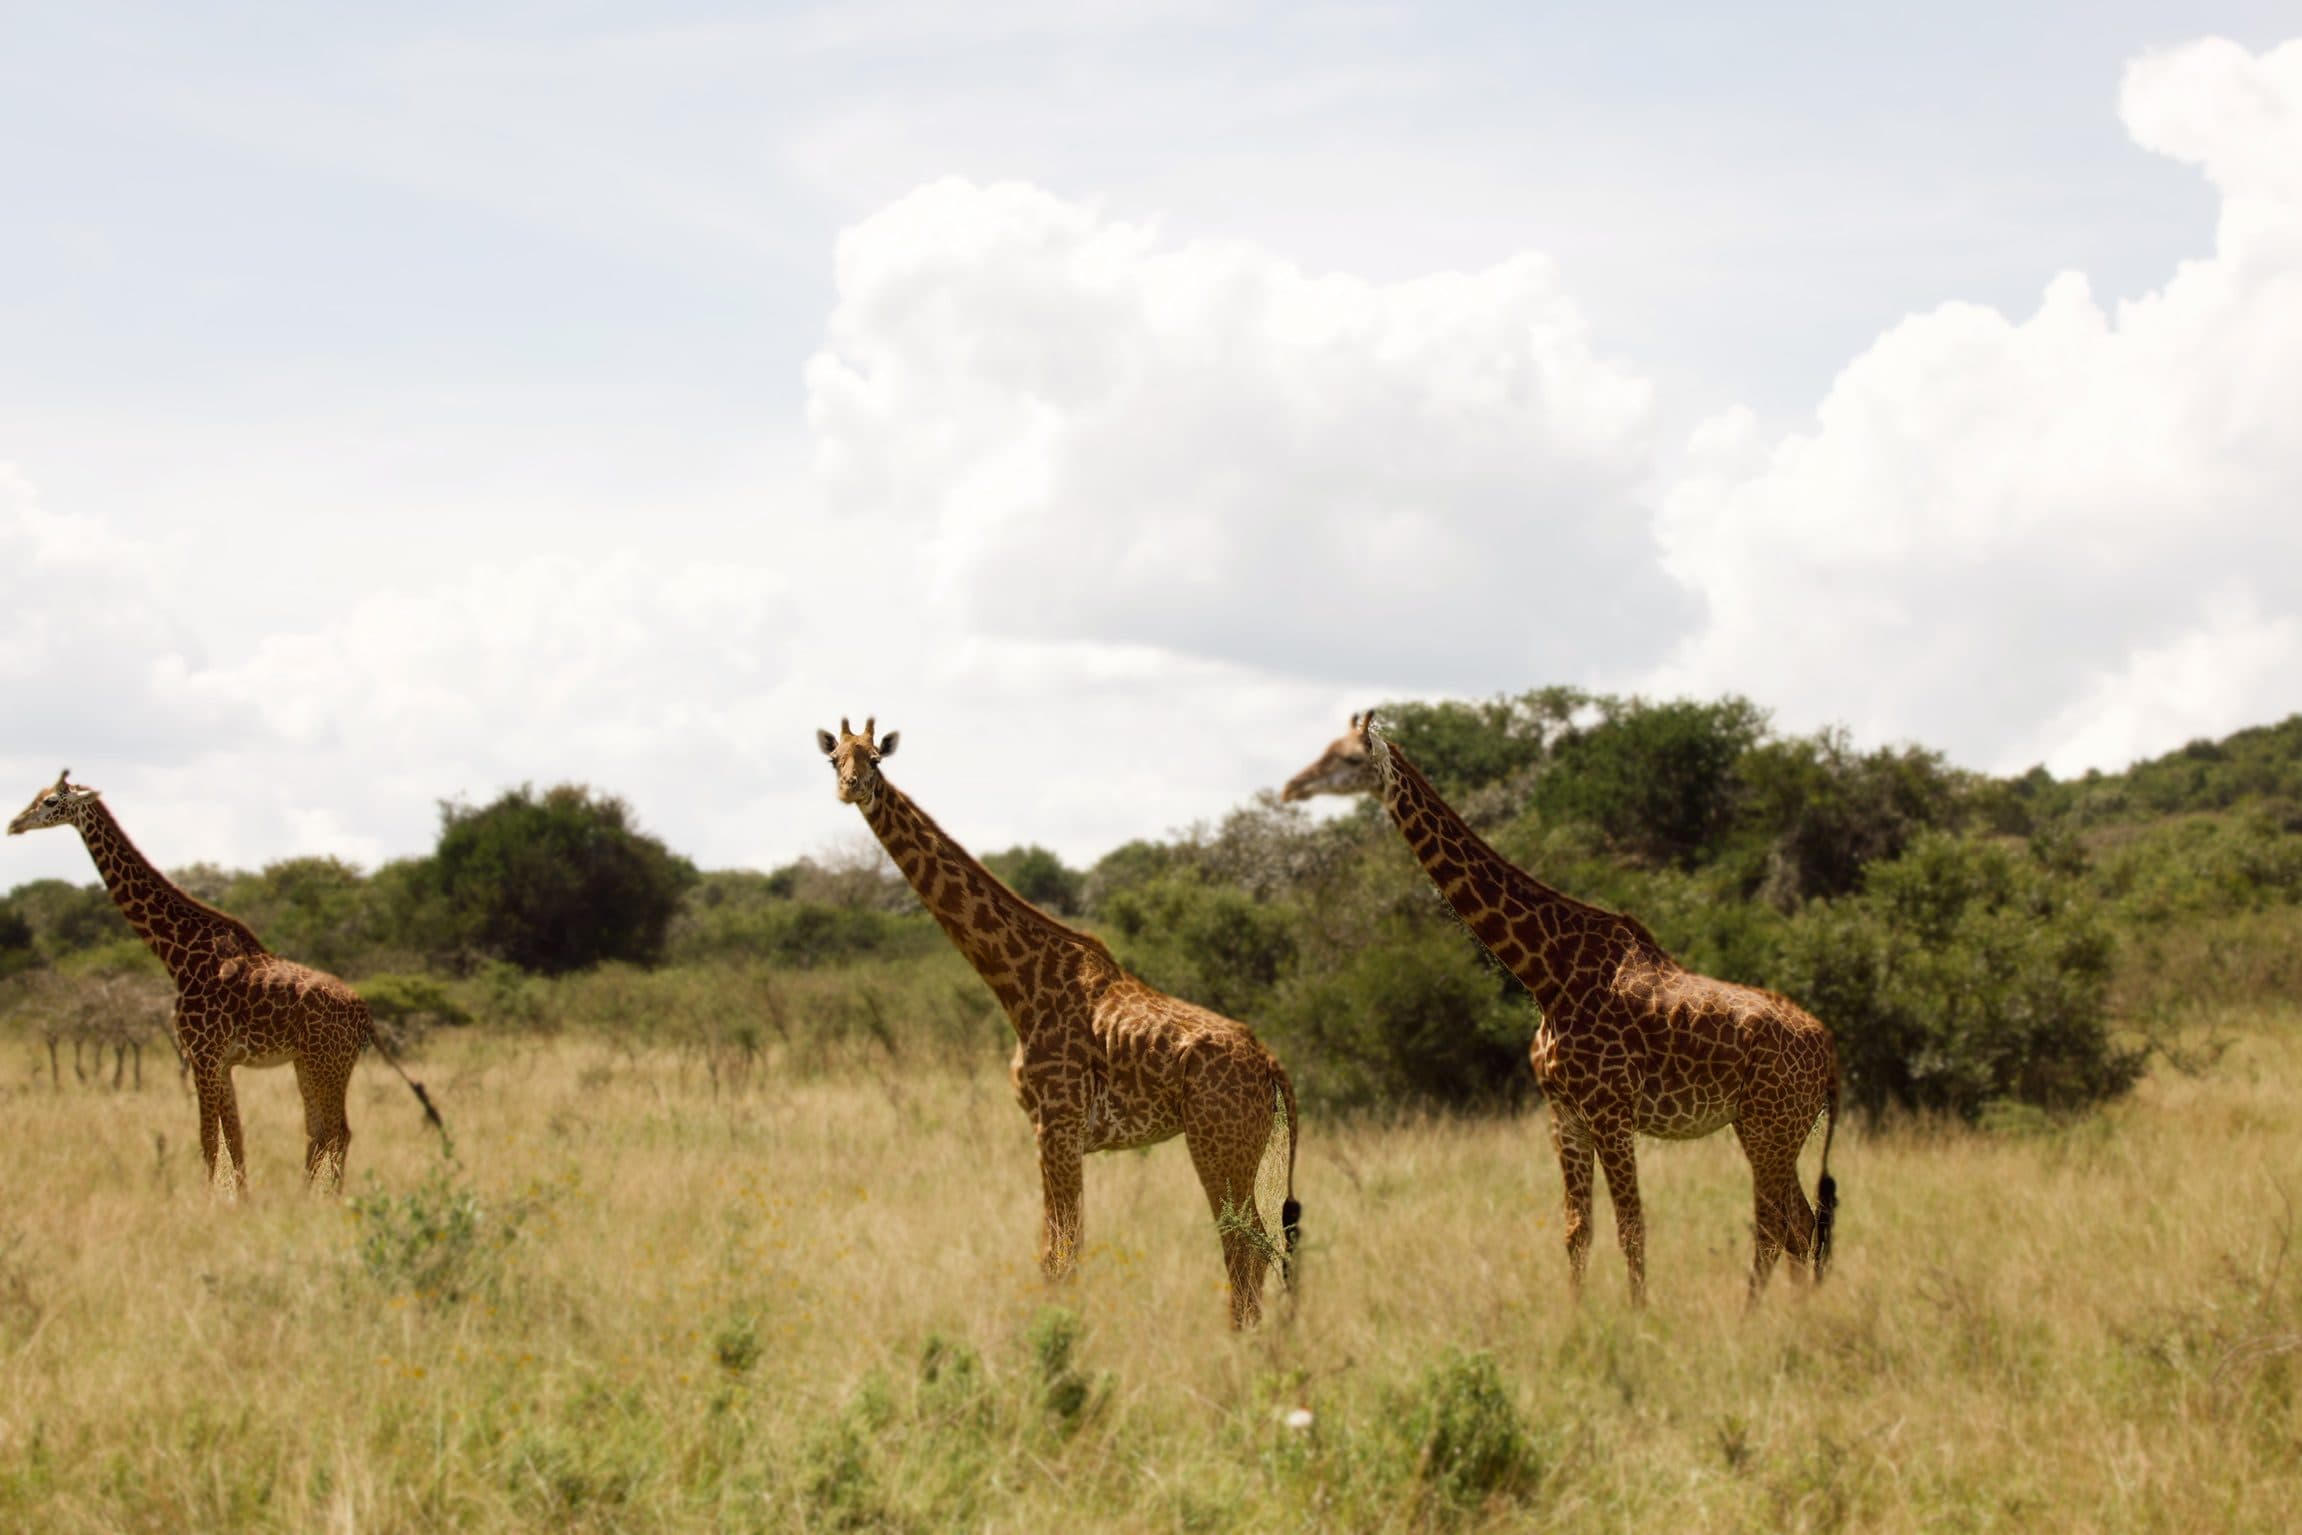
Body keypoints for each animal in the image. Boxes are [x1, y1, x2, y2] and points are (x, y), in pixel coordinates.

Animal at [7, 769, 442, 1194]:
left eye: (50, 800)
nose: (14, 824)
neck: (177, 954)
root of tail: (365, 1015)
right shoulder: (222, 1061)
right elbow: (235, 1138)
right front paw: (242, 1201)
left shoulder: (203, 1053)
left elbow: (209, 1140)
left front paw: (206, 1203)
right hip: (311, 1063)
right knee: (319, 1131)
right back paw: (303, 1196)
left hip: (329, 1063)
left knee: (340, 1131)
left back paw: (331, 1200)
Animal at [817, 718, 1302, 1329]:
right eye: (834, 758)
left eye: (876, 758)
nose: (851, 787)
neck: (1018, 983)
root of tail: (1272, 1064)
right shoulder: (1046, 1130)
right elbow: (1060, 1250)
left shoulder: (1059, 1126)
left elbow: (1060, 1258)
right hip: (1241, 1145)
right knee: (1261, 1247)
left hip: (1218, 1141)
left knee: (1245, 1244)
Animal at [1283, 713, 1838, 1305]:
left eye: (1348, 759)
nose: (1292, 787)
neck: (1548, 974)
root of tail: (1829, 1052)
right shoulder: (1565, 1114)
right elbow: (1578, 1230)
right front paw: (1578, 1316)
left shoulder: (1610, 1111)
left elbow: (1631, 1226)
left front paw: (1639, 1318)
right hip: (1769, 1127)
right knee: (1798, 1224)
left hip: (1769, 1125)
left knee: (1783, 1226)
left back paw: (1762, 1316)